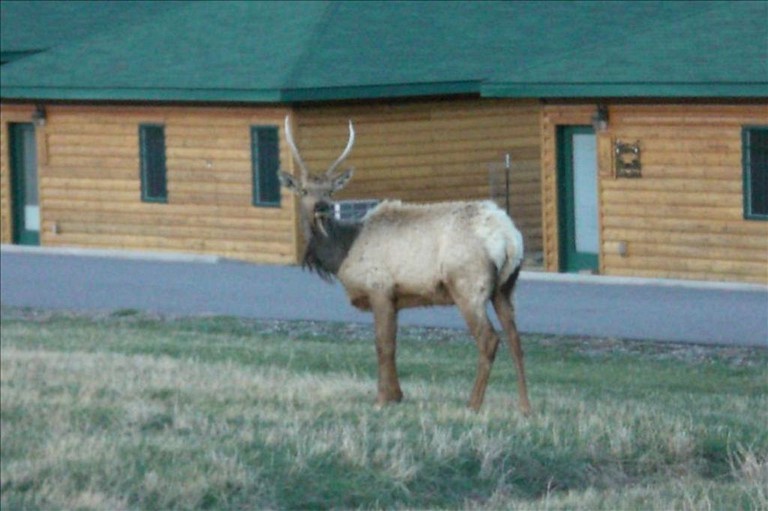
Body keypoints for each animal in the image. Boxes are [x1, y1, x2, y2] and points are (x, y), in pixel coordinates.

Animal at [280, 117, 532, 416]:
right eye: (305, 190)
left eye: (331, 191)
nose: (322, 207)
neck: (342, 253)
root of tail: (509, 237)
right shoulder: (396, 297)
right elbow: (394, 344)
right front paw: (397, 395)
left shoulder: (379, 287)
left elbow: (383, 344)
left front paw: (382, 399)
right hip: (505, 287)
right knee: (516, 339)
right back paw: (525, 405)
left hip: (468, 286)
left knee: (489, 339)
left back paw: (472, 404)